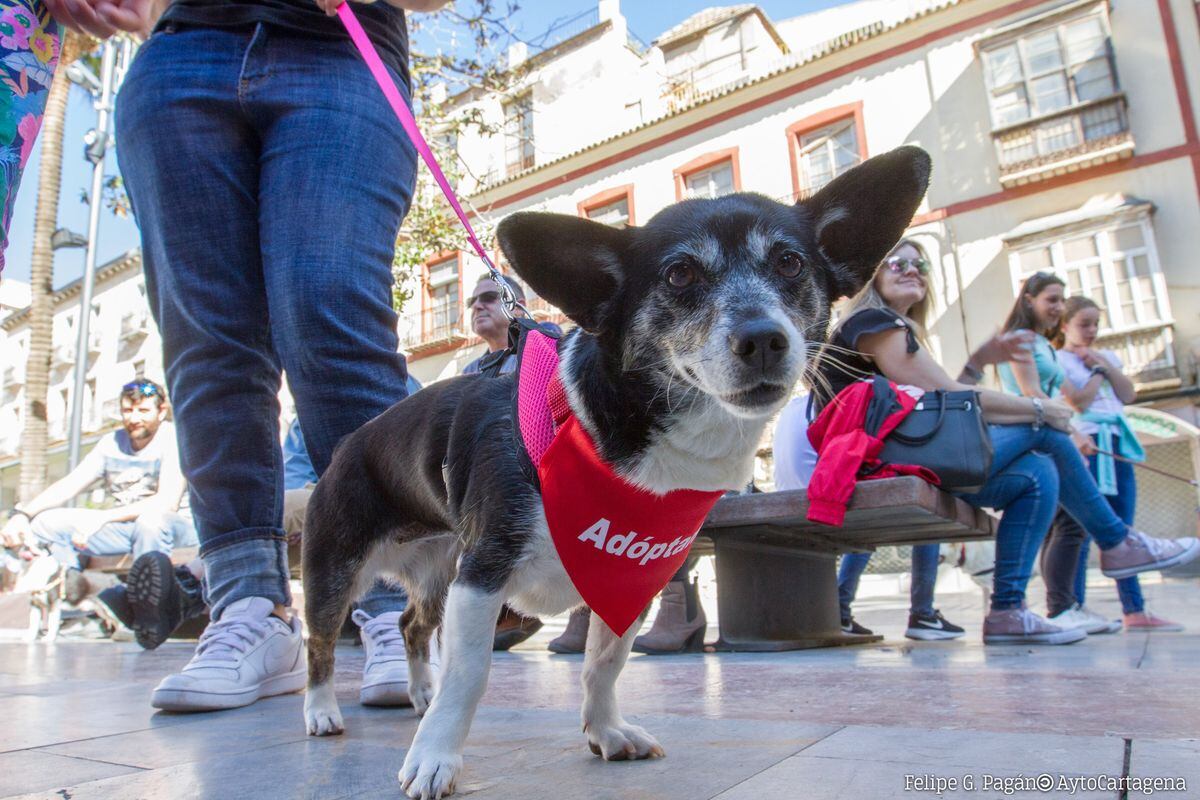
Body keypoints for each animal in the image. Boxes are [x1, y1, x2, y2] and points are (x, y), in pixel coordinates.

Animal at [302, 146, 936, 796]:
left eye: (790, 262)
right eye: (679, 275)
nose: (763, 339)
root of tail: (352, 442)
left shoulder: (629, 579)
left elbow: (604, 665)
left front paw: (605, 730)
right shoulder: (480, 576)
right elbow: (470, 675)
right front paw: (436, 757)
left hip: (435, 573)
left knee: (410, 624)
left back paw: (419, 691)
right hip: (337, 570)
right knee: (320, 642)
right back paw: (323, 711)